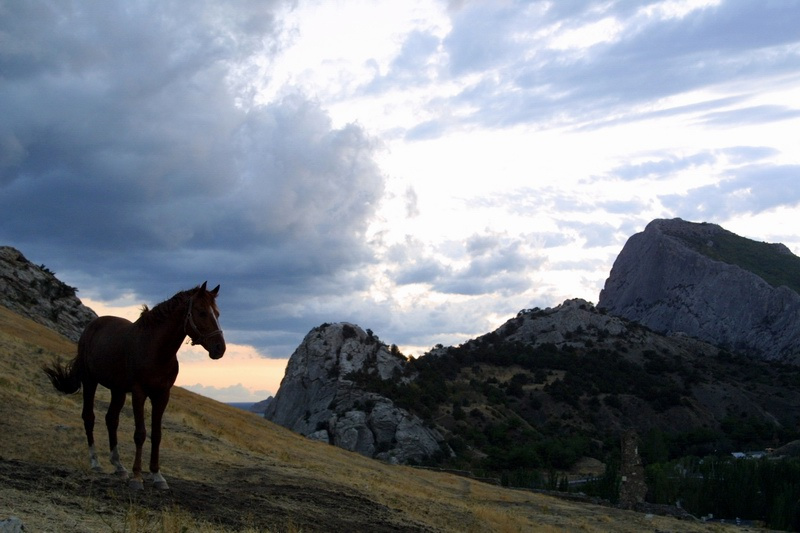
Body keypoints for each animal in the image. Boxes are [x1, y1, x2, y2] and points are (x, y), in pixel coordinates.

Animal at [43, 282, 226, 490]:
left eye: (217, 314)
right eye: (202, 312)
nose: (220, 348)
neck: (155, 349)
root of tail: (92, 326)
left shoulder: (162, 395)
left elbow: (156, 434)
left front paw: (157, 475)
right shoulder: (139, 393)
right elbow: (140, 434)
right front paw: (137, 477)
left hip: (118, 390)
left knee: (111, 420)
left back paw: (119, 466)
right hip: (90, 381)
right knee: (89, 417)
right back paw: (96, 462)